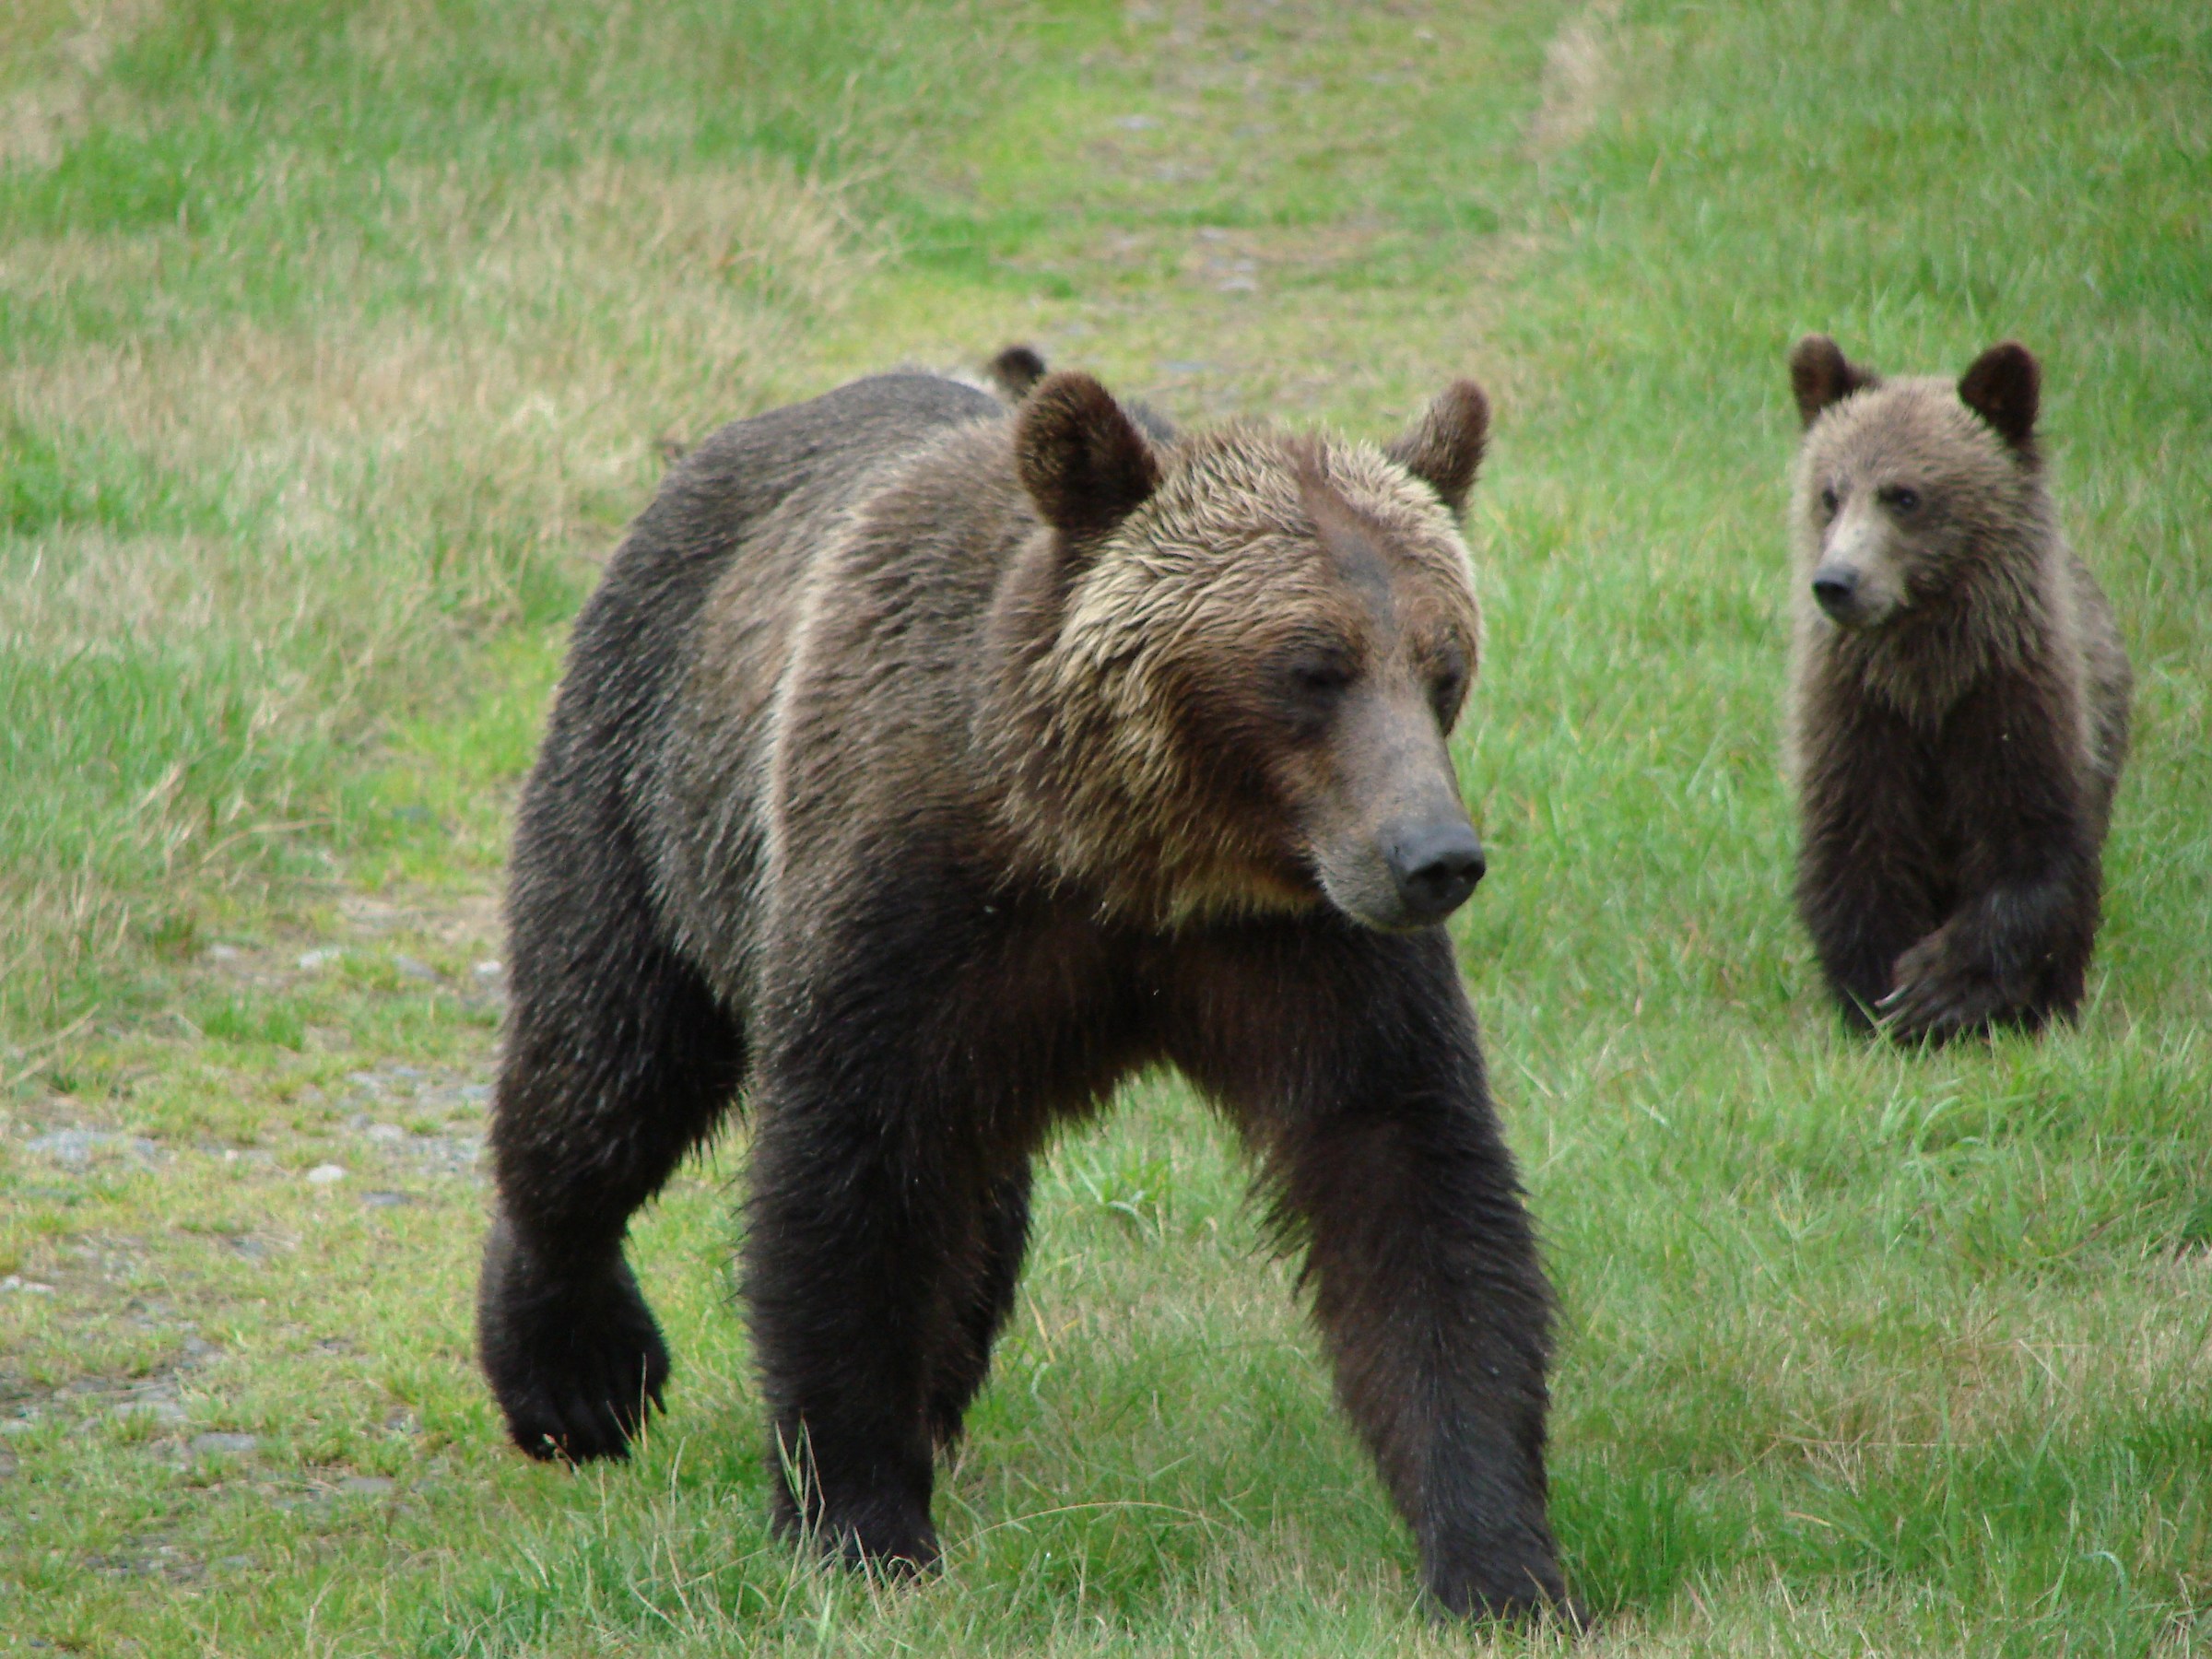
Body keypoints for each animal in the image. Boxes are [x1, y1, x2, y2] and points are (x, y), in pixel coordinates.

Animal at [475, 358, 1574, 1622]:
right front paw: (857, 1524)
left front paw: (1501, 1561)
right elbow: (846, 1183)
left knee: (972, 1204)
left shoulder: (1306, 947)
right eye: (1312, 666)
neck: (1127, 850)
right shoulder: (908, 901)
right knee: (604, 1068)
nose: (1438, 858)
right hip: (649, 783)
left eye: (1443, 665)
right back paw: (573, 1374)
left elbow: (1410, 1182)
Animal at [1785, 335, 2131, 1042]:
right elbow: (1856, 855)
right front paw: (1878, 1003)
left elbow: (2032, 853)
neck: (1928, 676)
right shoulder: (1859, 714)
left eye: (1904, 495)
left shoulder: (2010, 701)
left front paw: (1941, 987)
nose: (1837, 581)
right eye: (1830, 493)